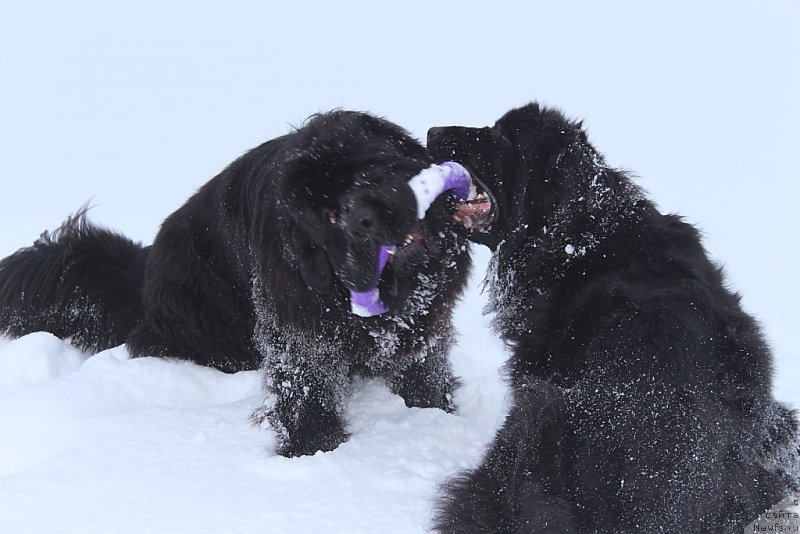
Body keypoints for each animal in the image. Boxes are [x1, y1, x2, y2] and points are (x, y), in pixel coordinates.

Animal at [0, 111, 472, 458]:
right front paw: (313, 450)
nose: (363, 222)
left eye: (367, 174)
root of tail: (145, 270)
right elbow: (305, 388)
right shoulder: (297, 325)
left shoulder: (425, 322)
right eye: (328, 215)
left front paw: (434, 410)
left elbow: (423, 366)